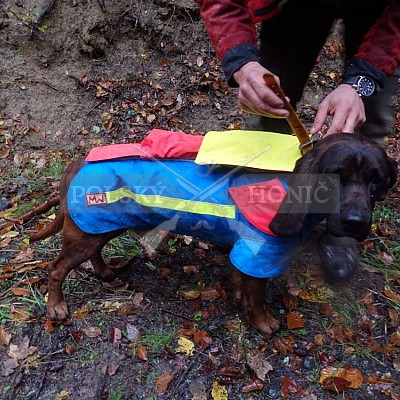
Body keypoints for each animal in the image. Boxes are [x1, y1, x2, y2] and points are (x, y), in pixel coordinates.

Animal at [29, 134, 396, 334]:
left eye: (377, 181)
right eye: (336, 176)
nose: (355, 222)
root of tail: (76, 164)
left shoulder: (243, 255)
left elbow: (240, 283)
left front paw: (238, 297)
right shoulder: (258, 254)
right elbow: (258, 299)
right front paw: (264, 323)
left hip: (100, 226)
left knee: (92, 254)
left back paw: (104, 273)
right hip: (86, 232)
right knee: (55, 269)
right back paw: (56, 307)